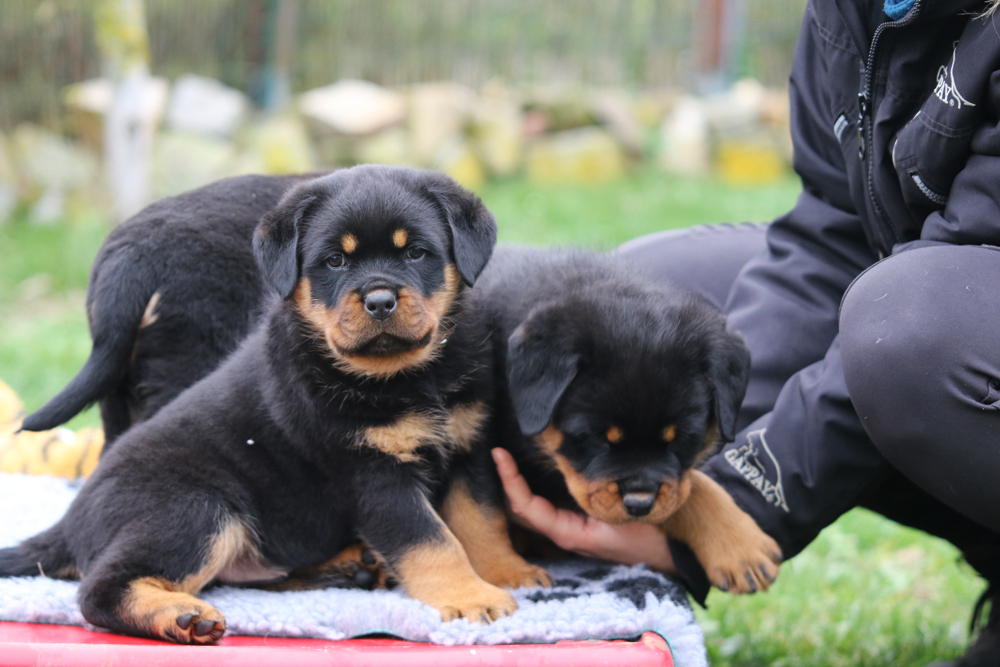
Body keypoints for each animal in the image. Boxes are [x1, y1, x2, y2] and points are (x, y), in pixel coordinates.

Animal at [0, 165, 546, 643]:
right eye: (335, 261)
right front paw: (473, 597)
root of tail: (70, 520)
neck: (407, 376)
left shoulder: (467, 445)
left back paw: (350, 567)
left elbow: (480, 519)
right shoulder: (373, 475)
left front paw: (508, 573)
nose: (379, 300)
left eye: (415, 253)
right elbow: (432, 540)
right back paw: (183, 616)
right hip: (196, 508)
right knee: (99, 590)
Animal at [457, 246, 783, 595]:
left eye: (682, 440)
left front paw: (739, 543)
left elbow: (689, 486)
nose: (639, 504)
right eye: (595, 439)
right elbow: (688, 491)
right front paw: (740, 547)